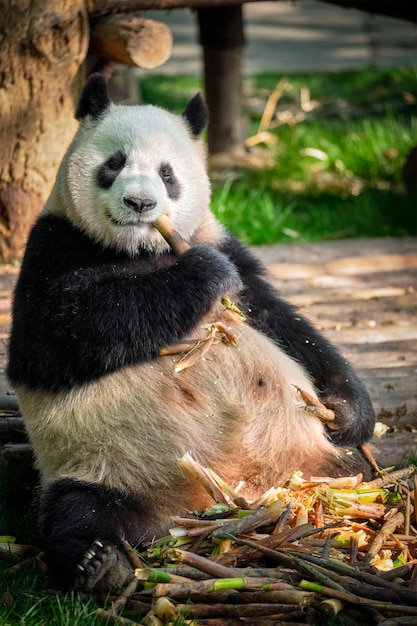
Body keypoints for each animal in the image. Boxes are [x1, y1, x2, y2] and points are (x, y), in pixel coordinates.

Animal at [8, 73, 374, 596]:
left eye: (167, 174)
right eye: (114, 163)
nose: (140, 203)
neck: (139, 250)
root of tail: (223, 501)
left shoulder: (223, 243)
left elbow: (284, 323)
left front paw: (346, 411)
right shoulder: (53, 246)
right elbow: (57, 335)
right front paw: (200, 275)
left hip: (320, 465)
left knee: (358, 472)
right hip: (101, 466)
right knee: (77, 510)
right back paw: (99, 562)